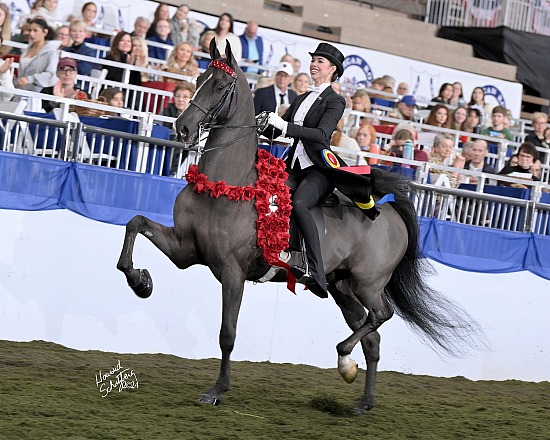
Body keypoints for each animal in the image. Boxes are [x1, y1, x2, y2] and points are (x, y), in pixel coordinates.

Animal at [117, 40, 484, 412]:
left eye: (219, 86)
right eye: (198, 78)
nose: (182, 129)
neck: (225, 184)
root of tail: (389, 209)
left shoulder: (232, 271)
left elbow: (227, 333)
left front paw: (217, 390)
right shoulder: (186, 250)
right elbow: (135, 224)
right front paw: (140, 281)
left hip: (368, 283)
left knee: (381, 315)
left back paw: (344, 357)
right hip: (342, 287)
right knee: (373, 337)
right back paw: (362, 399)